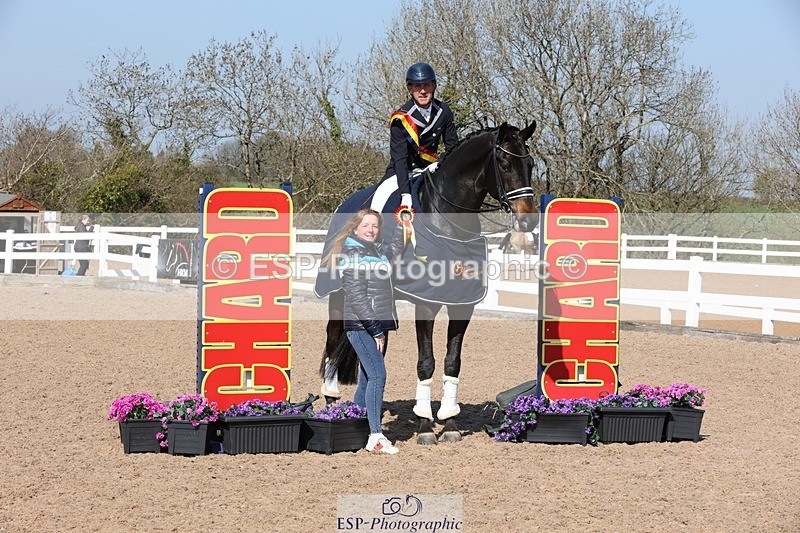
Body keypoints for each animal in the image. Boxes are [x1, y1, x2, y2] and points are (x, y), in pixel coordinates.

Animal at [317, 121, 537, 445]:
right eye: (505, 164)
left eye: (530, 164)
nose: (528, 221)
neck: (450, 222)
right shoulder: (427, 303)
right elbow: (426, 361)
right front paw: (424, 425)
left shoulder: (462, 304)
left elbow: (452, 361)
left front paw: (450, 422)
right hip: (338, 294)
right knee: (333, 338)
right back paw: (332, 404)